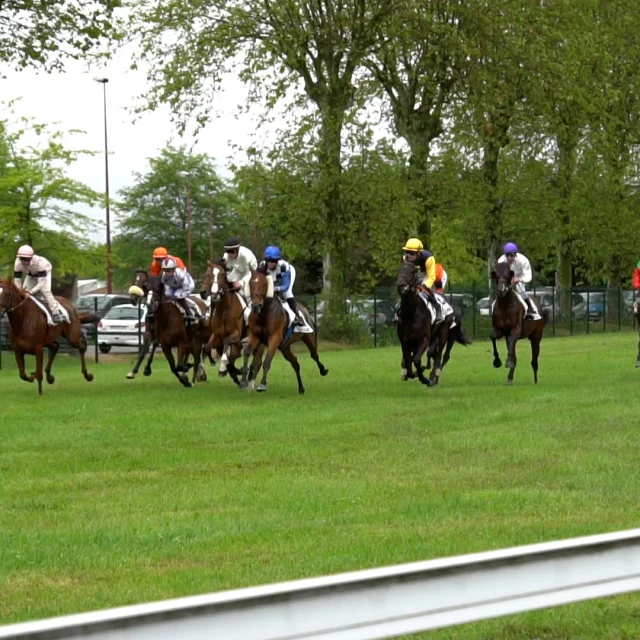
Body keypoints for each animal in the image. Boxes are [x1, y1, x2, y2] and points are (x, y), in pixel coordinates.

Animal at [239, 264, 328, 396]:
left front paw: (262, 384)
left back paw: (323, 370)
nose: (255, 306)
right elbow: (247, 353)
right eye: (250, 284)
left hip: (308, 338)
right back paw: (301, 388)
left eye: (264, 284)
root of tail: (305, 310)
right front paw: (244, 381)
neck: (264, 314)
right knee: (295, 363)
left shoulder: (274, 338)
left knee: (314, 355)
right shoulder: (255, 336)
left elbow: (267, 361)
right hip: (285, 347)